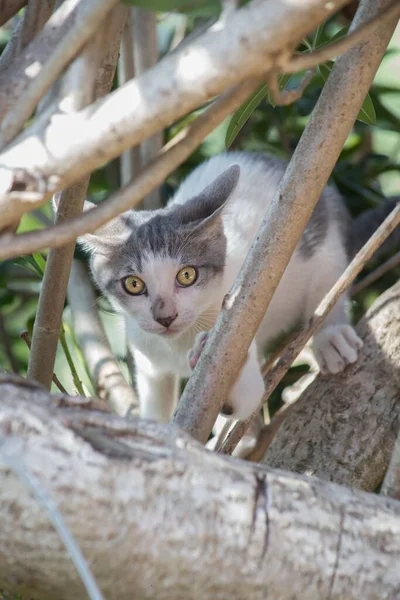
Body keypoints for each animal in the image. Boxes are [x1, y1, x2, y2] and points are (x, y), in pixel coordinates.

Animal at [81, 151, 368, 426]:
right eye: (133, 284)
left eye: (187, 275)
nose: (166, 317)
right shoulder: (147, 357)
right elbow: (156, 409)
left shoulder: (241, 325)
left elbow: (249, 396)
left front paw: (218, 370)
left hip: (324, 235)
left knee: (327, 280)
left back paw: (331, 336)